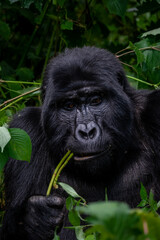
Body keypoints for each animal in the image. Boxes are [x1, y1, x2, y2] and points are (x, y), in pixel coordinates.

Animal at [1, 46, 160, 239]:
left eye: (96, 100)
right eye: (69, 105)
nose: (87, 132)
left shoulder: (155, 111)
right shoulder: (25, 129)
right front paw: (36, 218)